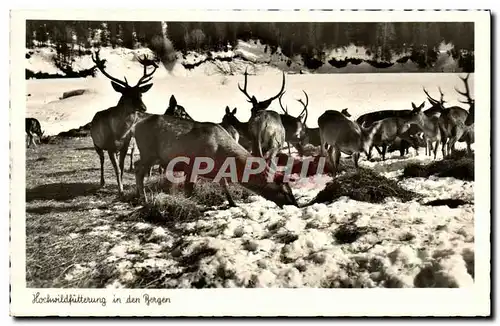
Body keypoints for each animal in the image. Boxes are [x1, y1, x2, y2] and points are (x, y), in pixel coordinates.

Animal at [91, 49, 157, 195]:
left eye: (141, 94)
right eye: (127, 95)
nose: (144, 107)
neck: (119, 132)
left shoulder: (125, 145)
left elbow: (121, 168)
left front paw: (121, 187)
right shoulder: (109, 147)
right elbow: (116, 169)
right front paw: (120, 190)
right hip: (96, 144)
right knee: (101, 161)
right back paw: (102, 182)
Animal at [133, 113, 296, 208]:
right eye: (284, 191)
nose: (296, 205)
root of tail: (135, 126)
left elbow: (224, 184)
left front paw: (233, 203)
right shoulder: (192, 165)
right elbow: (189, 190)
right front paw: (188, 204)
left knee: (136, 165)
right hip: (148, 151)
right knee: (138, 168)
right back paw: (144, 198)